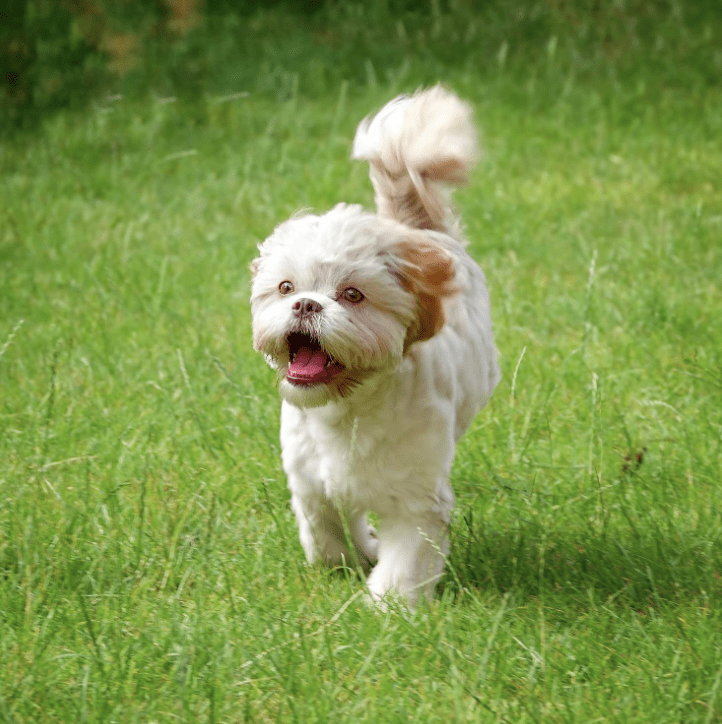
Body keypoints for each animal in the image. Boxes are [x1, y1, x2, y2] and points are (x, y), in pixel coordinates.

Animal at [250, 87, 498, 608]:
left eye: (352, 295)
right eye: (285, 287)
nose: (306, 304)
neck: (346, 409)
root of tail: (417, 231)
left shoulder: (418, 499)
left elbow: (404, 560)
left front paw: (388, 606)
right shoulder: (311, 482)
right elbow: (324, 535)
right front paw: (353, 556)